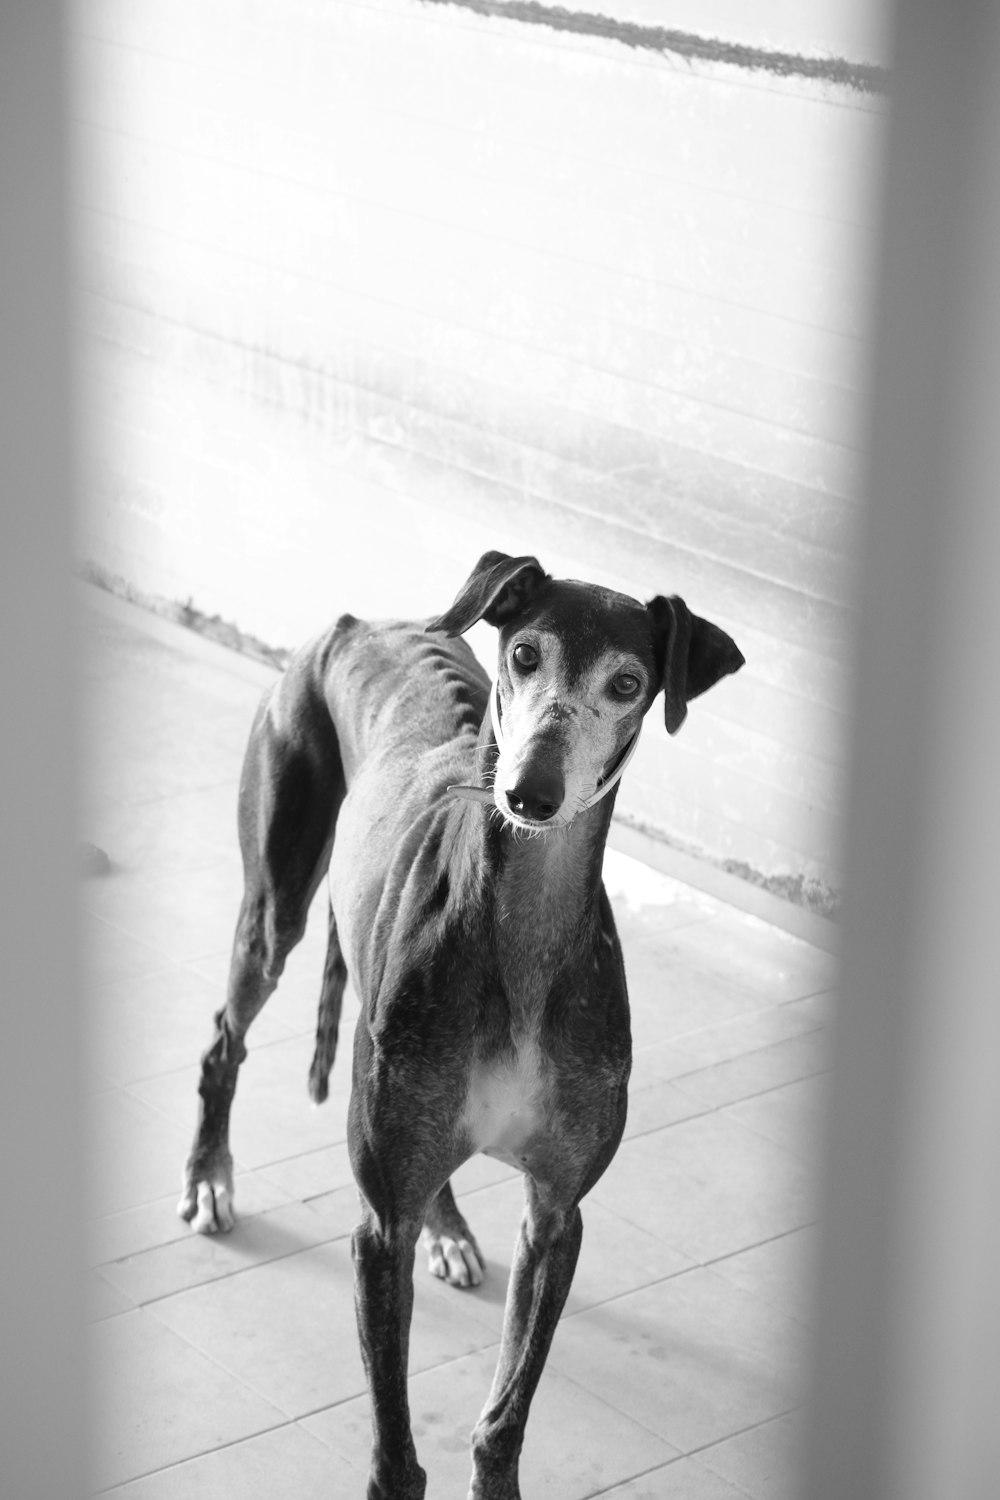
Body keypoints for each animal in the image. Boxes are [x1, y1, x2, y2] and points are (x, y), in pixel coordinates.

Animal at [177, 555, 743, 1500]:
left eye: (628, 683)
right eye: (523, 654)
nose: (530, 795)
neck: (520, 943)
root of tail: (360, 622)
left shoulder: (556, 1215)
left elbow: (504, 1417)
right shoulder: (378, 1230)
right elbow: (396, 1452)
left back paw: (446, 1229)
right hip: (276, 906)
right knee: (226, 1038)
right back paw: (209, 1178)